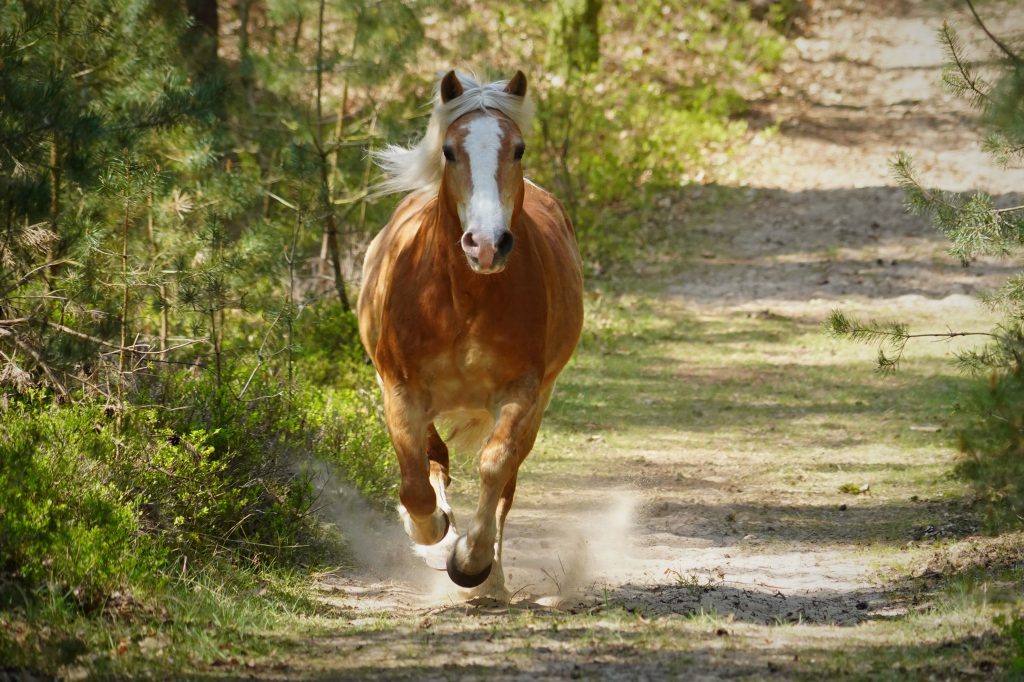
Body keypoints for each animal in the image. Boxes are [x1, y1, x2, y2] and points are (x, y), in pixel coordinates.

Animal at [360, 66, 585, 593]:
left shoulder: (521, 391)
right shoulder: (400, 390)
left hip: (540, 400)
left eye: (518, 148)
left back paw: (492, 581)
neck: (463, 299)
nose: (486, 244)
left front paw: (471, 562)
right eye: (449, 150)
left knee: (506, 480)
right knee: (434, 458)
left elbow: (495, 465)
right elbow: (416, 485)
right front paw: (433, 535)